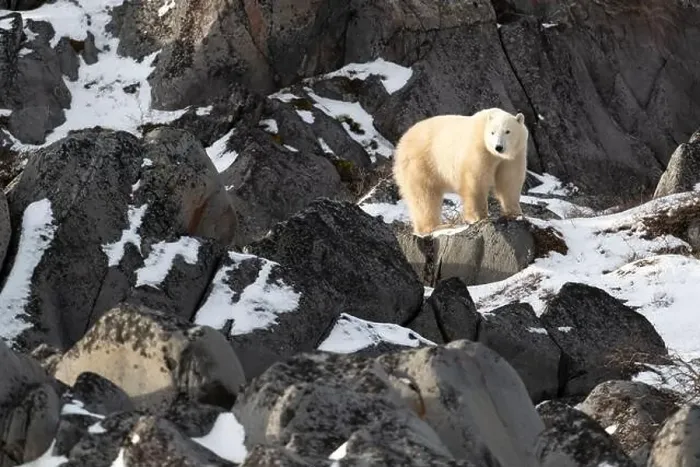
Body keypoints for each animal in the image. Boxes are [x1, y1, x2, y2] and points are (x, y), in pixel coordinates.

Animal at [392, 107, 529, 235]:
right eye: (492, 132)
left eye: (507, 131)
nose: (498, 147)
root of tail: (403, 140)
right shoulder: (479, 149)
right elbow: (475, 181)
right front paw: (478, 216)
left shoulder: (514, 156)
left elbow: (510, 181)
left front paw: (516, 213)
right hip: (421, 162)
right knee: (424, 196)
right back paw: (436, 227)